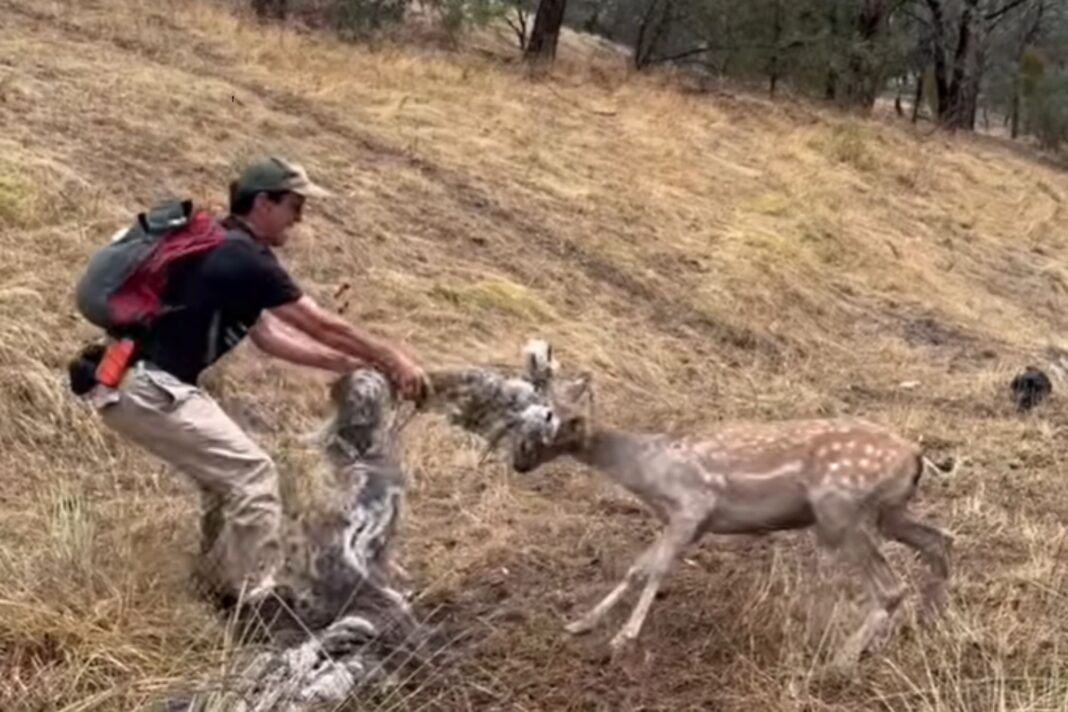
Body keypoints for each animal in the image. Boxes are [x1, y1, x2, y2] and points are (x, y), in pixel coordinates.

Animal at [505, 344, 954, 671]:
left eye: (553, 416)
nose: (519, 460)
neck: (648, 472)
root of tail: (917, 456)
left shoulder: (692, 505)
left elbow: (657, 571)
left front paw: (623, 639)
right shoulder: (682, 521)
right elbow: (637, 568)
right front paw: (581, 622)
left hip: (841, 510)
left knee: (891, 587)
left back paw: (841, 661)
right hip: (889, 512)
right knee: (940, 540)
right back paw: (929, 625)